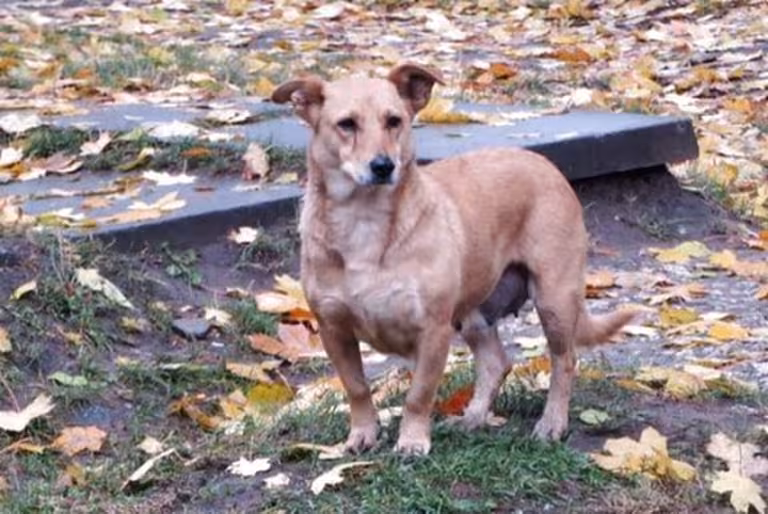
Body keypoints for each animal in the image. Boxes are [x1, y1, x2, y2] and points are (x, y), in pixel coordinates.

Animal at [271, 63, 635, 455]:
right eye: (347, 124)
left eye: (394, 121)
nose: (383, 166)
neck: (364, 222)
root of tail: (542, 162)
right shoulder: (333, 330)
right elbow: (357, 388)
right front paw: (362, 434)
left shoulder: (433, 329)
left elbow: (418, 394)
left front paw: (412, 441)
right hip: (475, 314)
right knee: (495, 364)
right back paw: (473, 418)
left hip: (554, 301)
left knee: (564, 361)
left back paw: (552, 422)